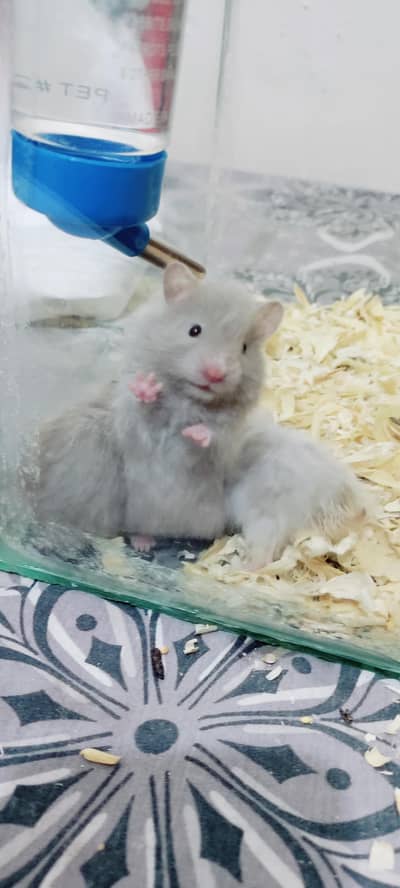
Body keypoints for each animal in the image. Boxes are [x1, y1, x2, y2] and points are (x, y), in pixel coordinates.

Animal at [33, 262, 283, 546]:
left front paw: (197, 432)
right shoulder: (132, 420)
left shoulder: (228, 438)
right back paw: (143, 544)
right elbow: (143, 411)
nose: (215, 374)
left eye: (244, 348)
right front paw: (148, 388)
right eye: (194, 330)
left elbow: (215, 435)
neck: (188, 398)